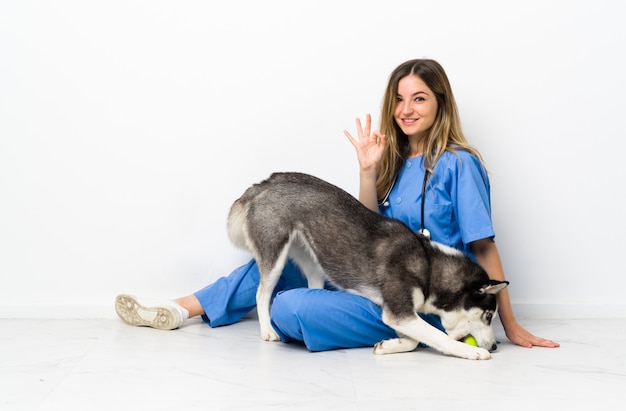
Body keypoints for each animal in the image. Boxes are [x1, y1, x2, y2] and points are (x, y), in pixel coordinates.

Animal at [225, 172, 508, 358]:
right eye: (488, 316)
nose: (495, 346)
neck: (429, 266)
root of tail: (264, 184)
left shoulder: (401, 316)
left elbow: (415, 340)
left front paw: (390, 345)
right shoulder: (399, 313)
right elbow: (435, 335)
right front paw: (469, 352)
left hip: (313, 257)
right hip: (274, 253)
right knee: (262, 294)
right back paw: (267, 330)